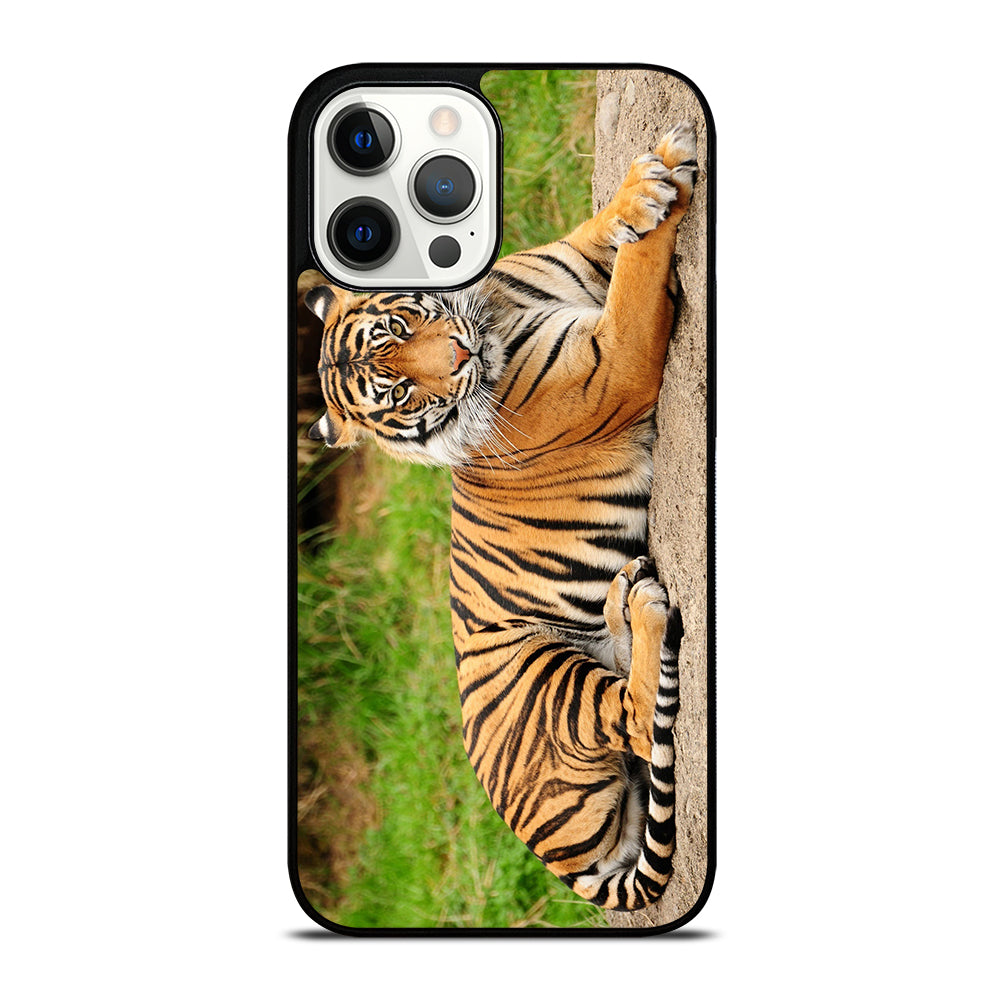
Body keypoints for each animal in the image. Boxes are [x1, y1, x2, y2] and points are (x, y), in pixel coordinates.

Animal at [304, 121, 697, 910]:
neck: (493, 310)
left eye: (401, 323)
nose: (459, 358)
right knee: (639, 719)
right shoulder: (615, 361)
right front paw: (661, 187)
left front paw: (647, 183)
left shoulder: (571, 265)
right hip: (541, 675)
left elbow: (606, 231)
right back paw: (642, 608)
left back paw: (623, 598)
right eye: (396, 392)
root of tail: (561, 863)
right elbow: (638, 275)